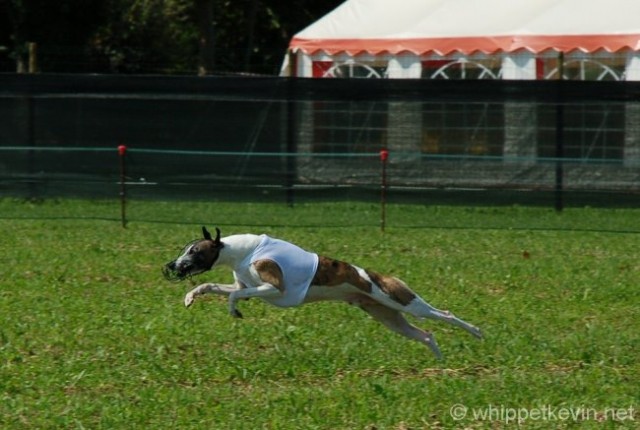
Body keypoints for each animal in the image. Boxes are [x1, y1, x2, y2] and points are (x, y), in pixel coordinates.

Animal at [162, 227, 482, 358]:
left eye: (194, 251)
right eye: (185, 249)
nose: (171, 266)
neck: (241, 251)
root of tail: (383, 276)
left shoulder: (272, 287)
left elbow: (232, 296)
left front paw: (234, 310)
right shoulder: (246, 285)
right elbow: (212, 287)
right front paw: (190, 297)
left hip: (404, 302)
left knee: (445, 315)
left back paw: (476, 332)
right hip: (388, 317)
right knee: (426, 334)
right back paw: (439, 359)